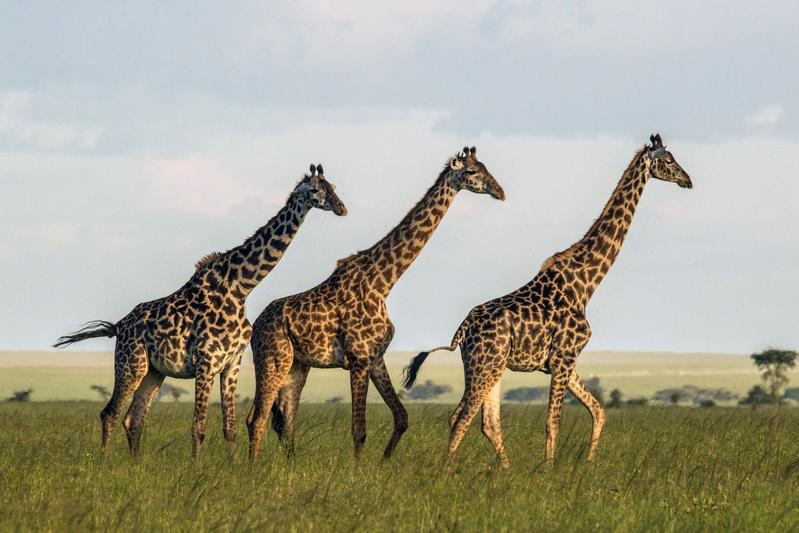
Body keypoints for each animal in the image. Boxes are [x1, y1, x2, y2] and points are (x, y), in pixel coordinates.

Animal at [53, 164, 346, 460]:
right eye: (314, 190)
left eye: (333, 187)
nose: (341, 208)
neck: (240, 287)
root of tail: (118, 326)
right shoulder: (206, 361)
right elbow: (199, 427)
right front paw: (197, 466)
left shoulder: (231, 363)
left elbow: (230, 428)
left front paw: (234, 466)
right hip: (130, 364)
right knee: (110, 414)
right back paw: (104, 463)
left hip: (153, 371)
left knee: (134, 419)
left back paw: (134, 464)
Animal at [247, 148, 504, 460]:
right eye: (471, 172)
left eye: (485, 167)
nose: (500, 191)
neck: (383, 283)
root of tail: (255, 327)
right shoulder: (358, 359)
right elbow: (359, 430)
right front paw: (358, 470)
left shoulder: (376, 357)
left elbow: (402, 417)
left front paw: (383, 463)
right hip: (272, 359)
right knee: (258, 418)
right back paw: (252, 467)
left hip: (297, 365)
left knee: (285, 418)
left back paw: (289, 466)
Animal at [406, 135, 692, 468]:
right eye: (669, 161)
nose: (688, 180)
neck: (586, 284)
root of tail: (462, 330)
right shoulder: (564, 357)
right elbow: (553, 421)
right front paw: (548, 470)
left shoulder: (565, 359)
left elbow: (598, 411)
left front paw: (587, 464)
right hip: (485, 364)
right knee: (463, 417)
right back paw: (448, 470)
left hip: (488, 366)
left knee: (484, 421)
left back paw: (504, 470)